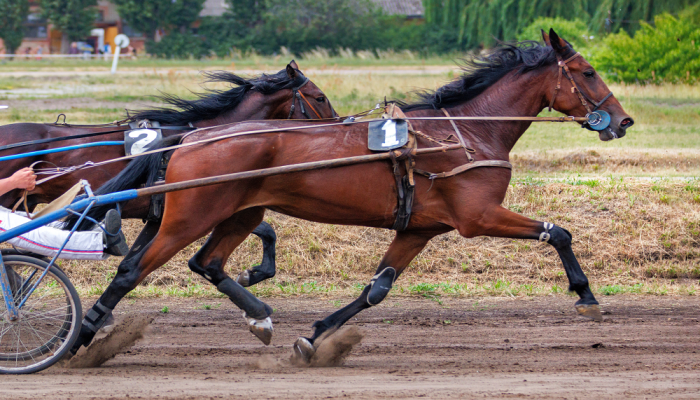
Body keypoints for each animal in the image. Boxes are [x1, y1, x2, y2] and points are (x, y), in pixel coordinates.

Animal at [69, 29, 636, 358]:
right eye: (587, 72)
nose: (623, 120)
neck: (466, 133)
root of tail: (190, 137)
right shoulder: (478, 215)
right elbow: (558, 232)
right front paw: (586, 296)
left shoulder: (421, 228)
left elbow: (376, 289)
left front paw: (315, 335)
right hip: (189, 216)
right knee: (132, 270)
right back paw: (81, 338)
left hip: (238, 212)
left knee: (207, 263)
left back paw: (260, 317)